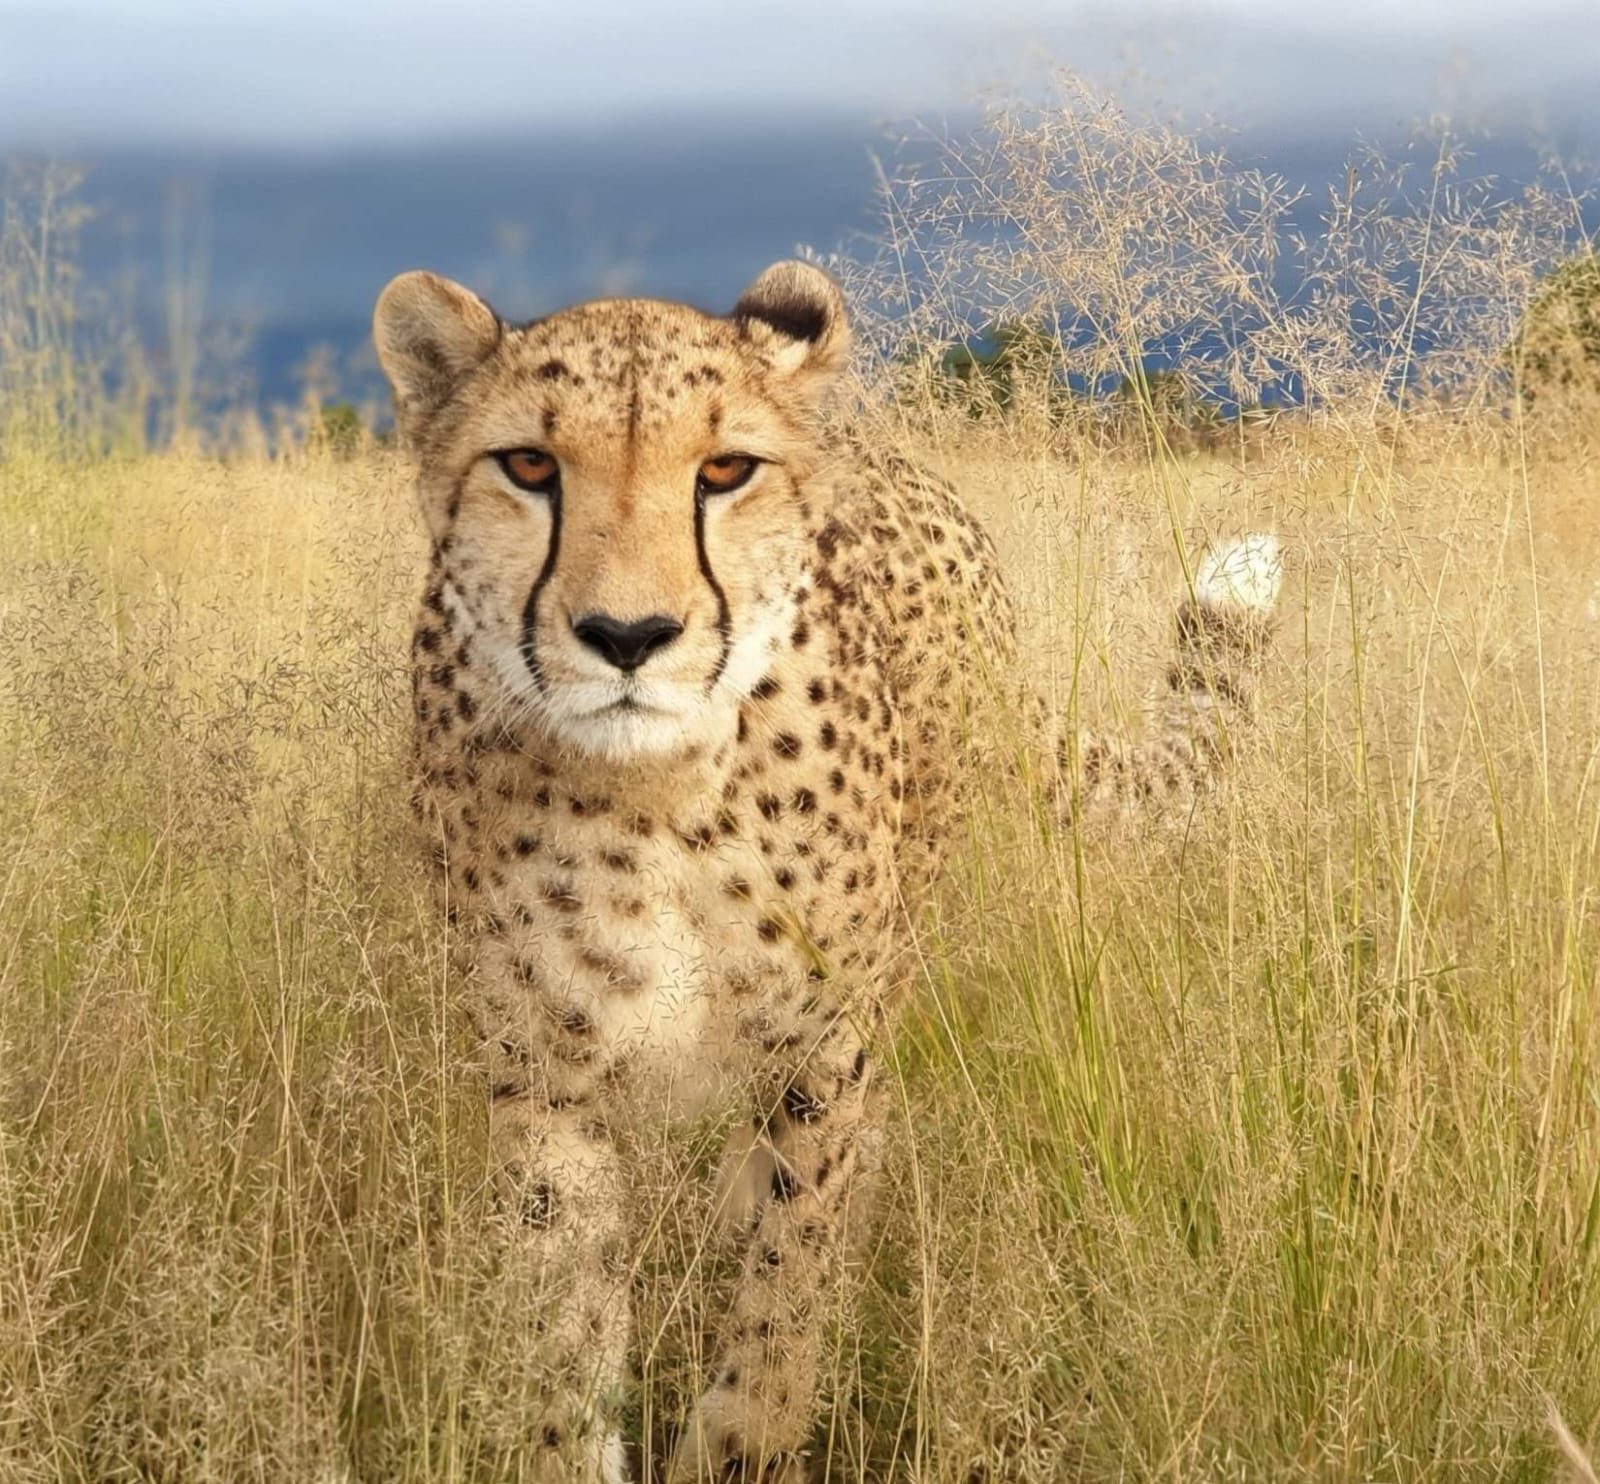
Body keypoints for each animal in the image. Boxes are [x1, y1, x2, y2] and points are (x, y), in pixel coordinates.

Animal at [372, 259, 1281, 1482]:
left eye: (724, 470)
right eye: (528, 466)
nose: (628, 634)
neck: (653, 792)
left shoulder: (823, 1047)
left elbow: (786, 1283)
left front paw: (741, 1437)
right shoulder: (543, 1076)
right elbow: (561, 1323)